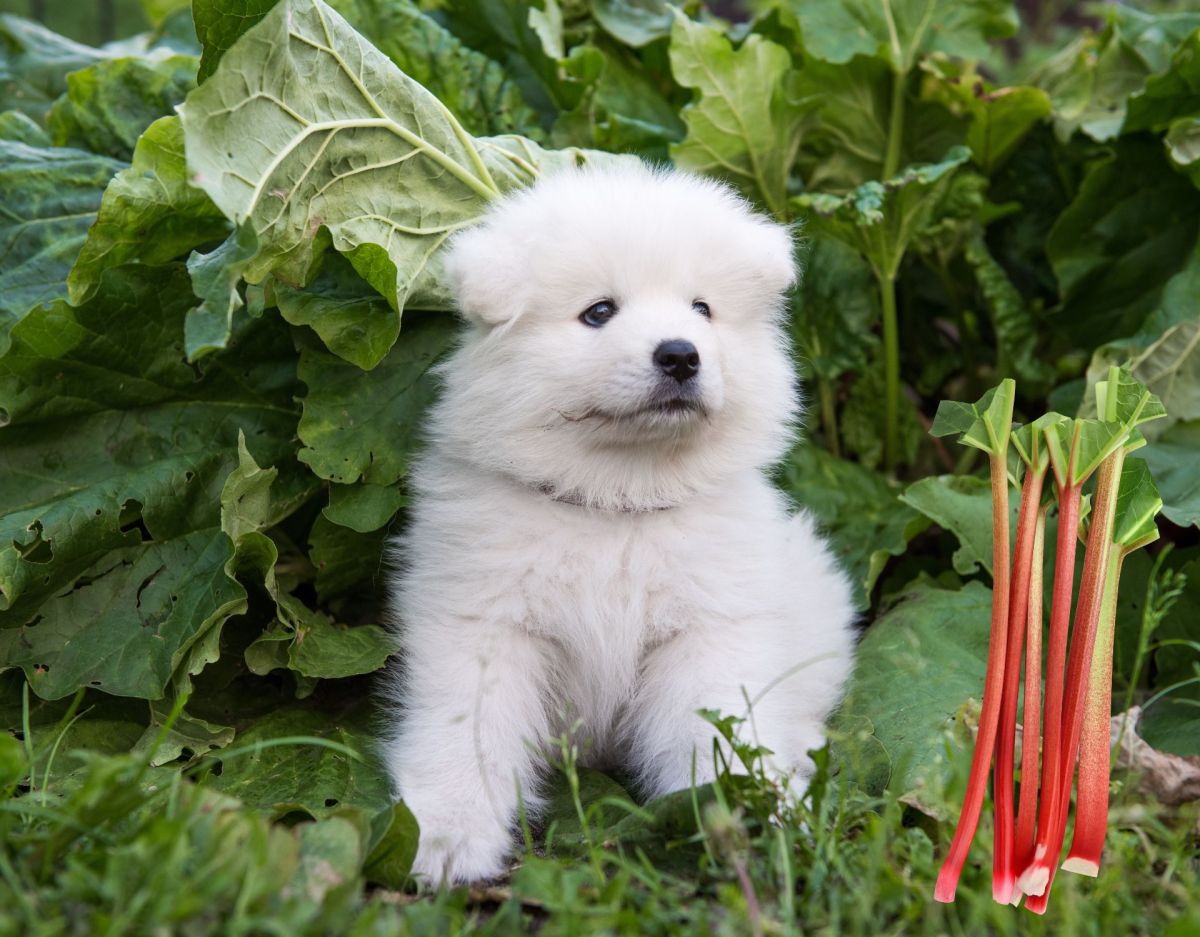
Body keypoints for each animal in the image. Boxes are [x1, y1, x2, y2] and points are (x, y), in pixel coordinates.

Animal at [379, 160, 859, 883]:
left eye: (702, 308)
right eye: (599, 312)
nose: (681, 354)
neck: (618, 502)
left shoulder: (706, 631)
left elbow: (718, 730)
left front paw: (751, 814)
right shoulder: (485, 624)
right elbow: (468, 729)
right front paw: (444, 834)